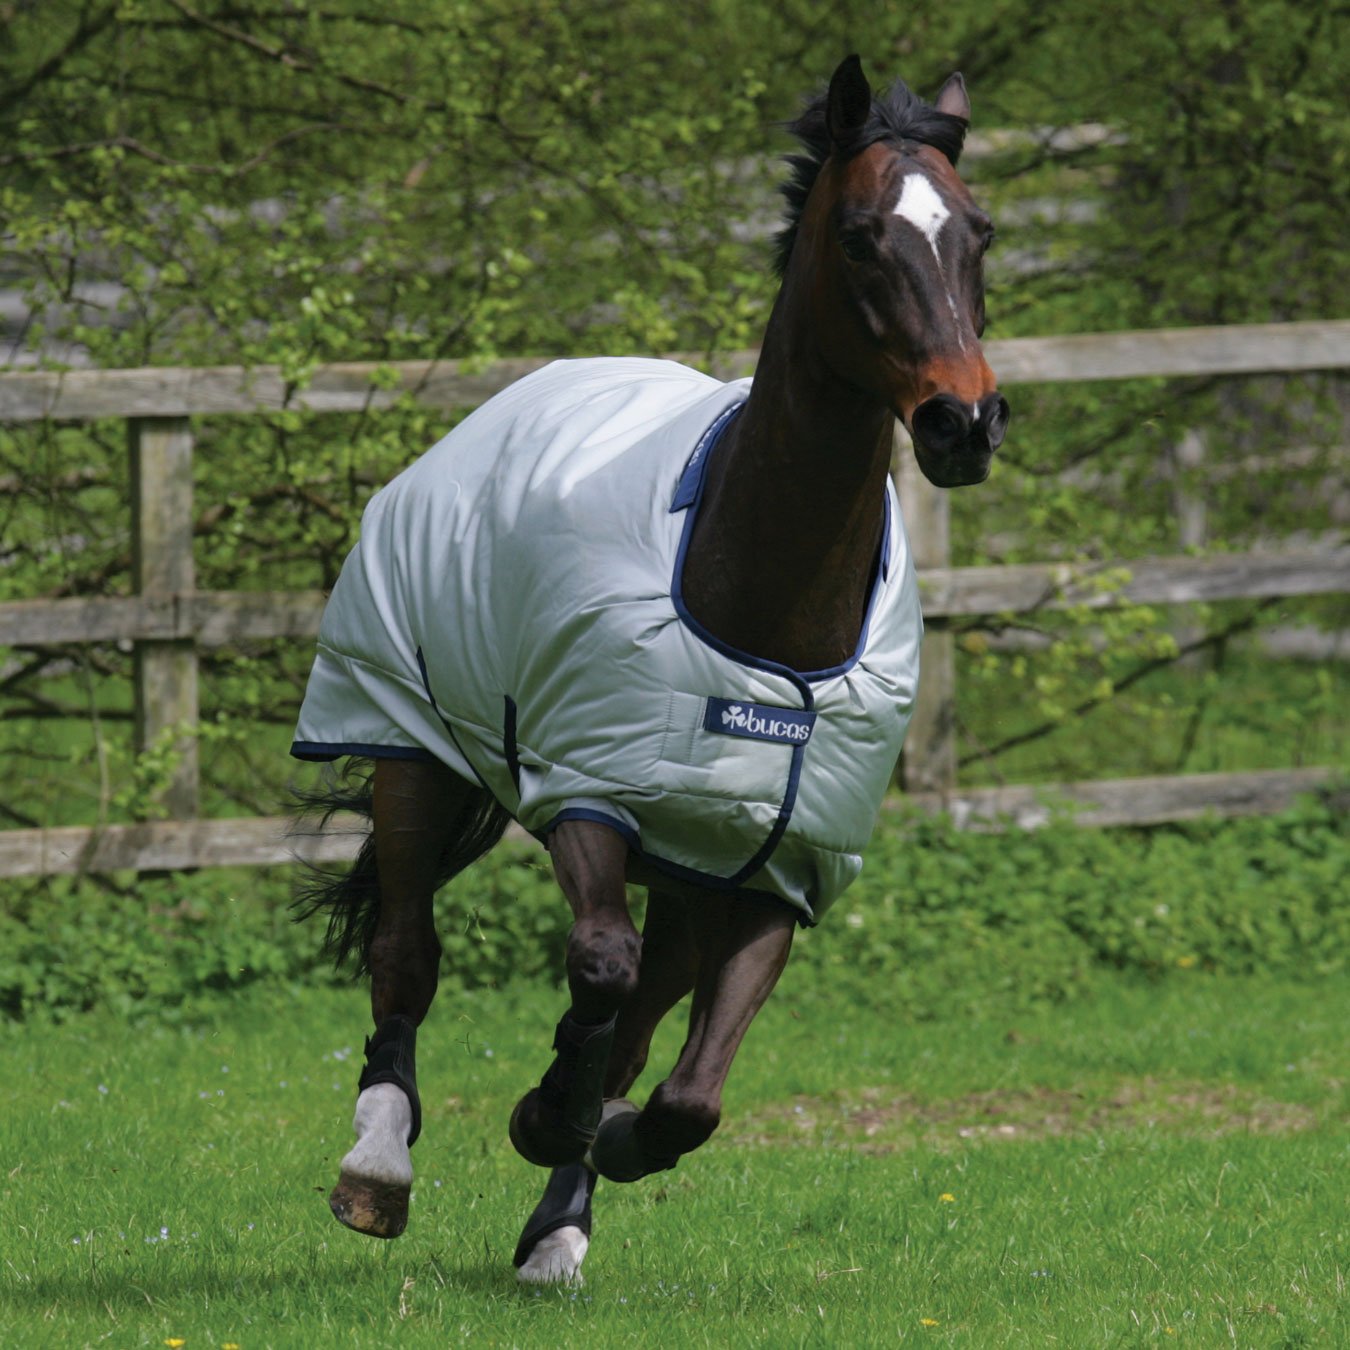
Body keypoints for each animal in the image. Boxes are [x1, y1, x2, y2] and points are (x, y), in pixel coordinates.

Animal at [291, 54, 1007, 1286]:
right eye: (861, 237)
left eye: (979, 233)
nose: (964, 420)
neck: (768, 622)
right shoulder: (592, 795)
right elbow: (598, 966)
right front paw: (543, 1111)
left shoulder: (780, 868)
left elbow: (686, 1094)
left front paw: (586, 1146)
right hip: (411, 751)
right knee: (407, 951)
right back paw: (378, 1165)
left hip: (690, 872)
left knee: (636, 1016)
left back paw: (558, 1219)